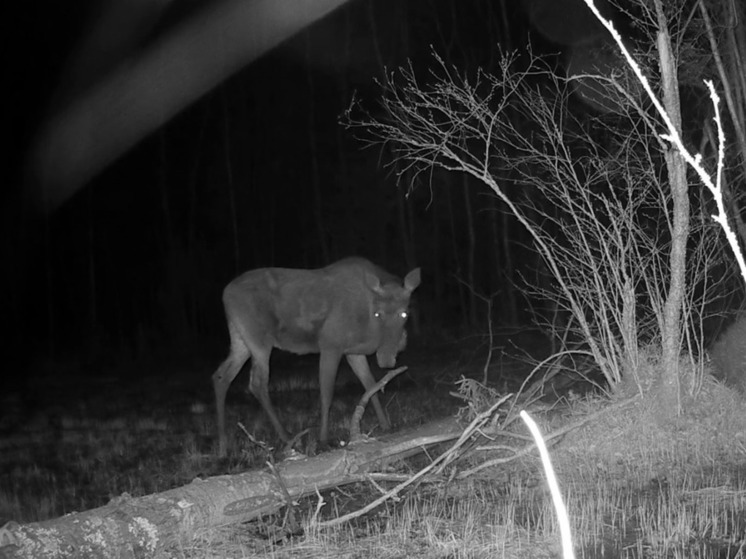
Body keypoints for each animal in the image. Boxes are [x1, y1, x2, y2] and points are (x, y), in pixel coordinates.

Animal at [211, 258, 418, 456]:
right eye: (378, 314)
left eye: (405, 313)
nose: (386, 358)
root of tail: (224, 294)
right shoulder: (330, 345)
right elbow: (327, 393)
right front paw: (323, 439)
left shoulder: (353, 351)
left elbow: (370, 384)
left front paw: (386, 425)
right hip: (259, 340)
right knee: (257, 383)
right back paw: (288, 437)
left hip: (241, 340)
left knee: (221, 376)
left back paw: (222, 448)